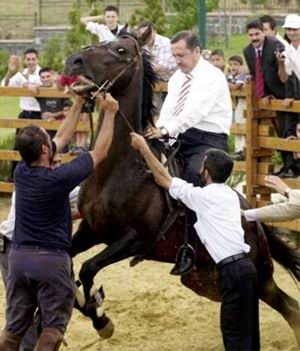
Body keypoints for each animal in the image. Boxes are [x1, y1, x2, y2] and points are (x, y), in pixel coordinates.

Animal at [64, 31, 300, 346]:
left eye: (121, 50)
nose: (74, 60)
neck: (120, 169)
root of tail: (252, 217)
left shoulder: (136, 239)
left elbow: (88, 268)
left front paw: (100, 316)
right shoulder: (91, 230)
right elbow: (70, 264)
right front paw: (93, 310)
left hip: (259, 275)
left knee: (289, 307)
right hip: (208, 280)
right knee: (289, 307)